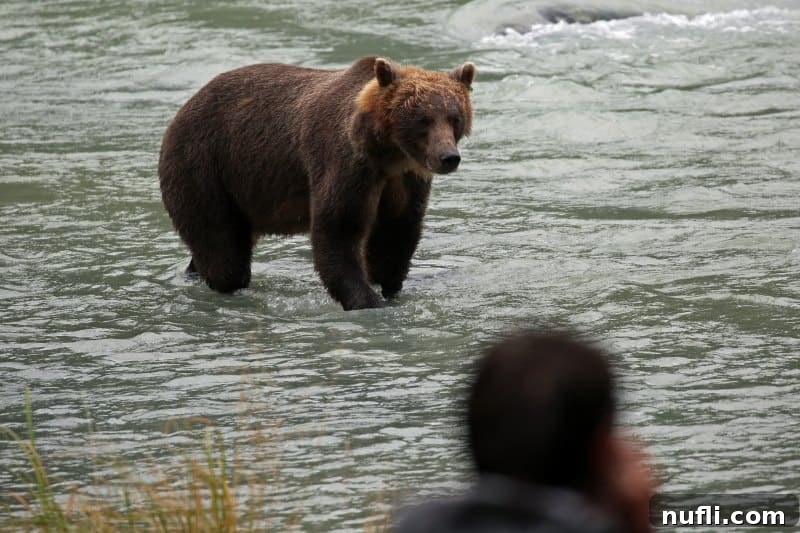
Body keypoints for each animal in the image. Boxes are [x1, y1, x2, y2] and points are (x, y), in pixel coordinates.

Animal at [158, 55, 475, 310]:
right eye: (423, 119)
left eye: (454, 117)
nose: (448, 157)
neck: (387, 154)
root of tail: (181, 111)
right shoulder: (345, 164)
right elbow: (338, 228)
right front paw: (367, 300)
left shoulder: (405, 181)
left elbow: (395, 233)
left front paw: (388, 288)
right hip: (205, 167)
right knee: (222, 251)